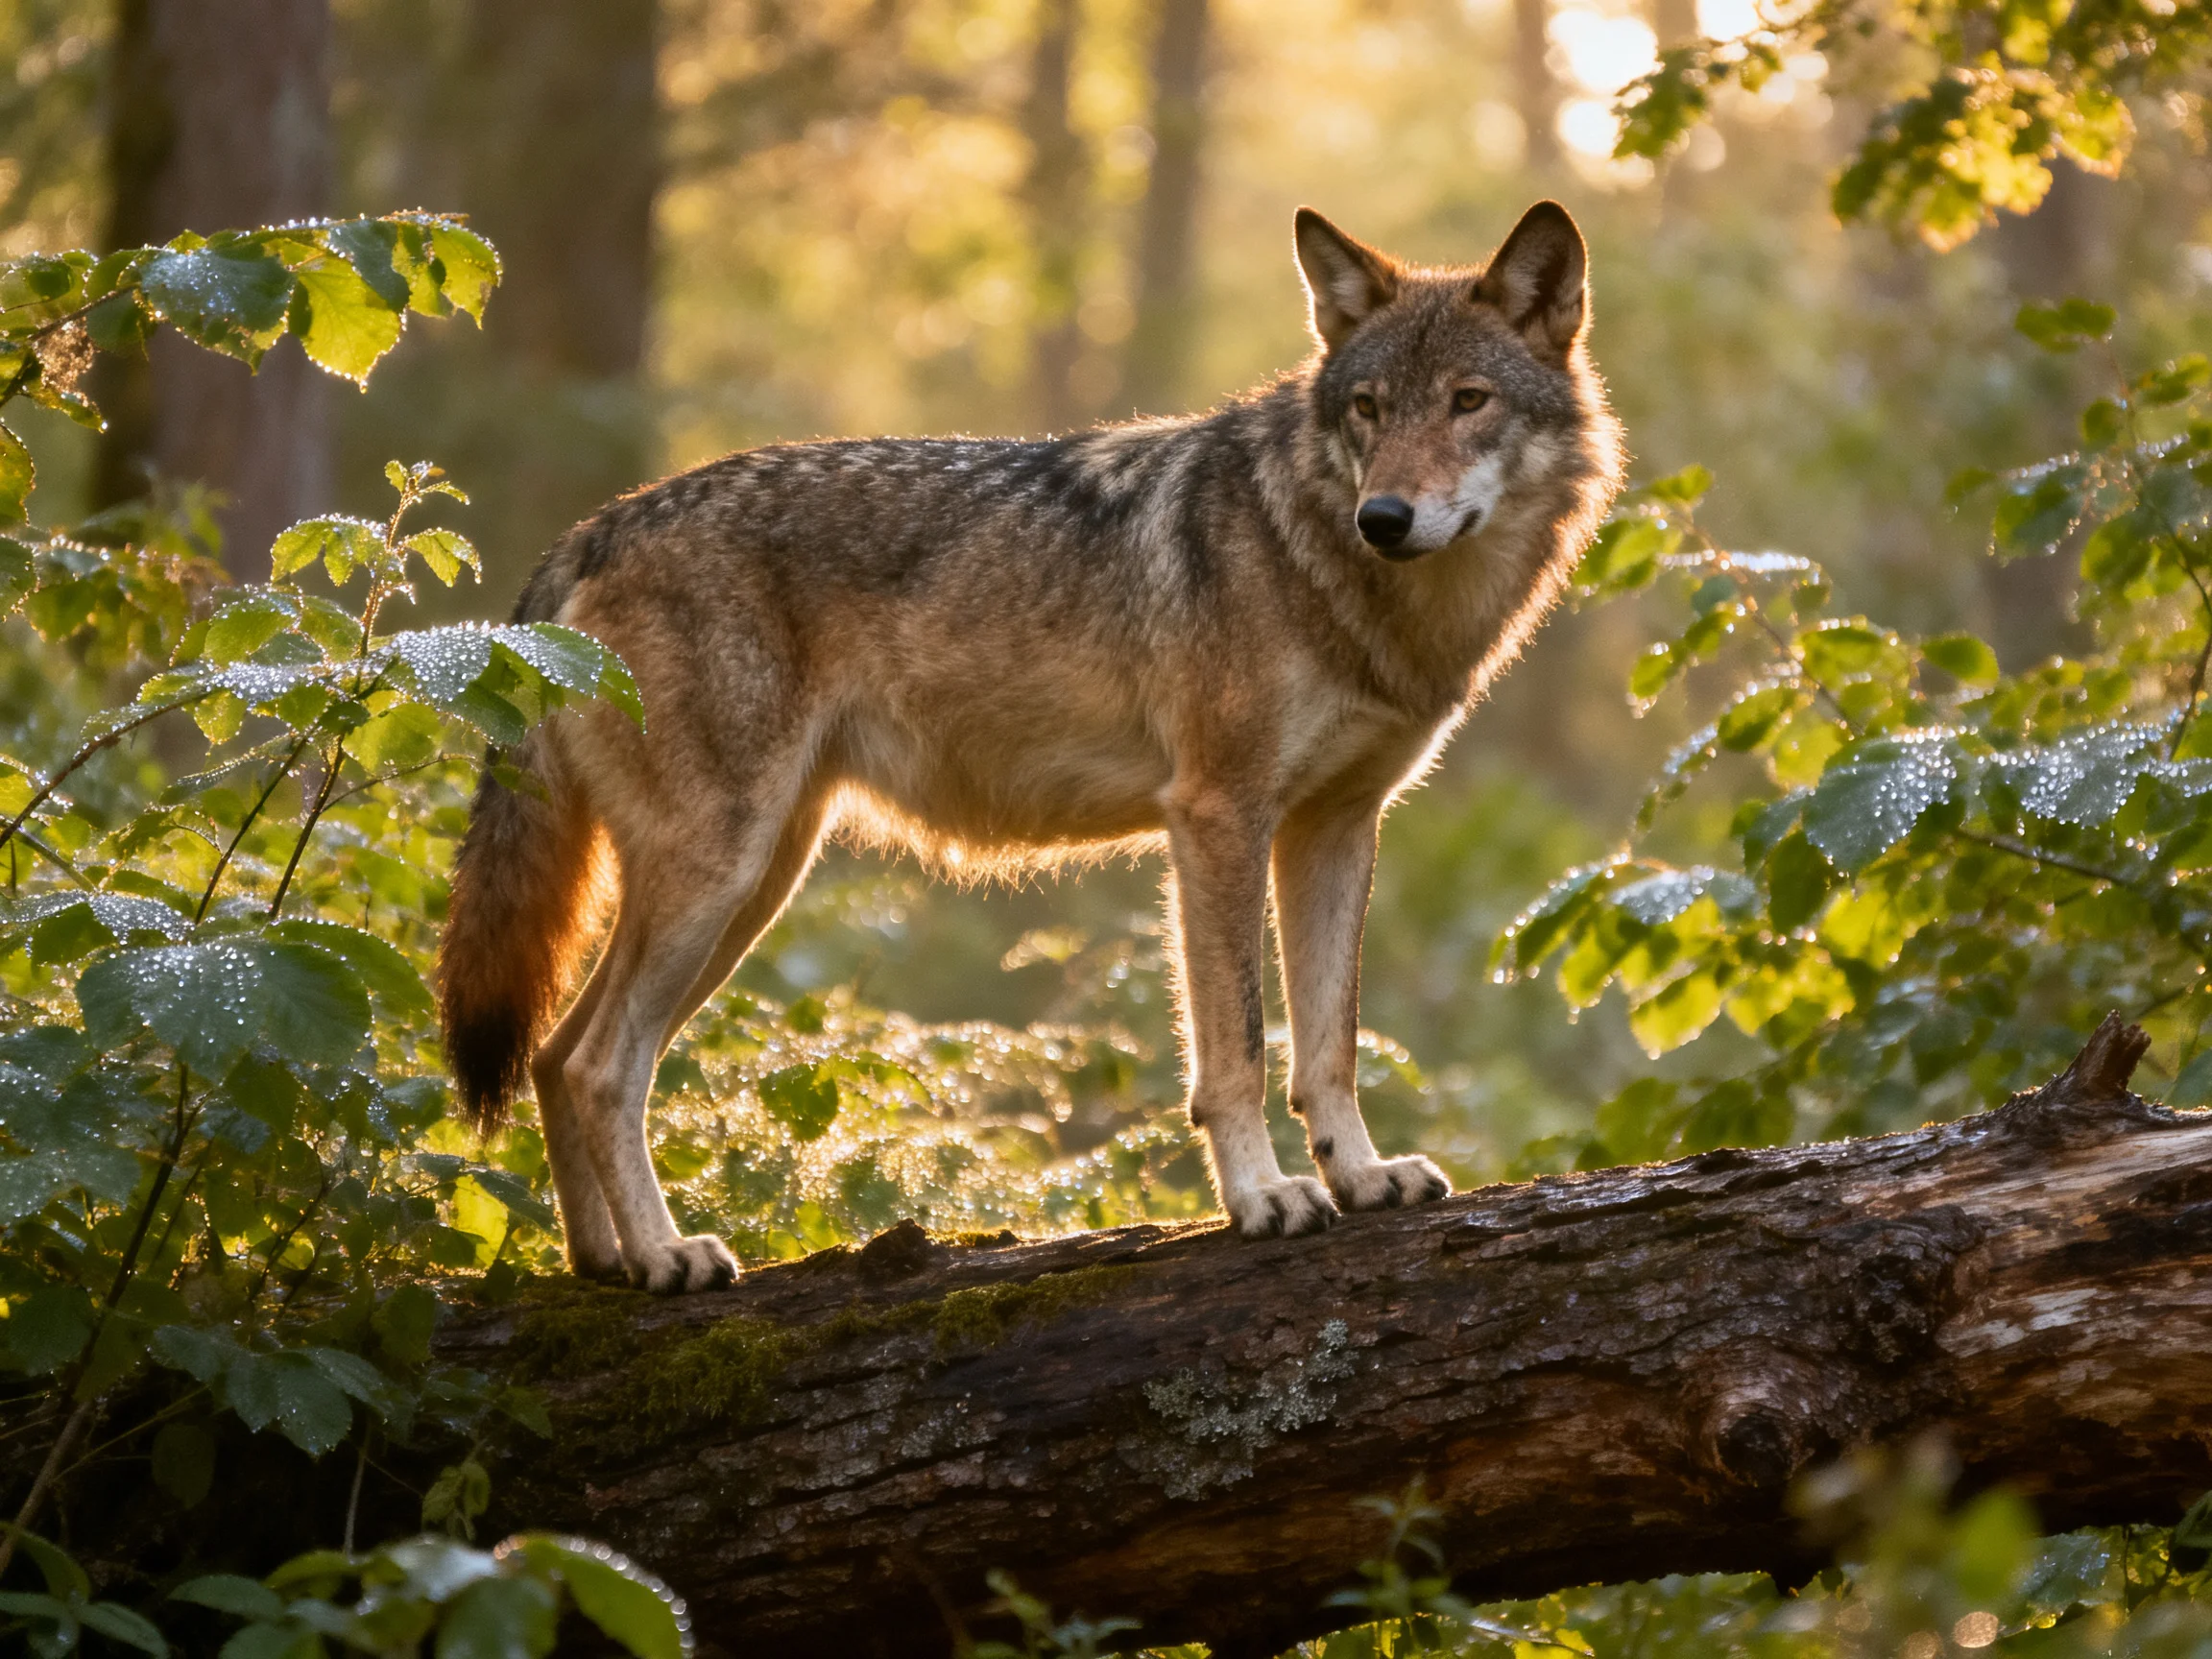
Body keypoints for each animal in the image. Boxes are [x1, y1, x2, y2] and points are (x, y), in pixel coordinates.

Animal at [437, 200, 1625, 1292]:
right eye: (1370, 409)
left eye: (1467, 402)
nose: (1385, 517)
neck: (1340, 579)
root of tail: (596, 528)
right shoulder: (1217, 818)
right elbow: (1237, 1049)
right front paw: (1266, 1198)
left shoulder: (1334, 828)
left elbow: (1327, 1042)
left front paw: (1364, 1178)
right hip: (721, 880)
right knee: (602, 1066)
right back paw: (666, 1257)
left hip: (750, 886)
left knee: (556, 1054)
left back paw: (600, 1266)